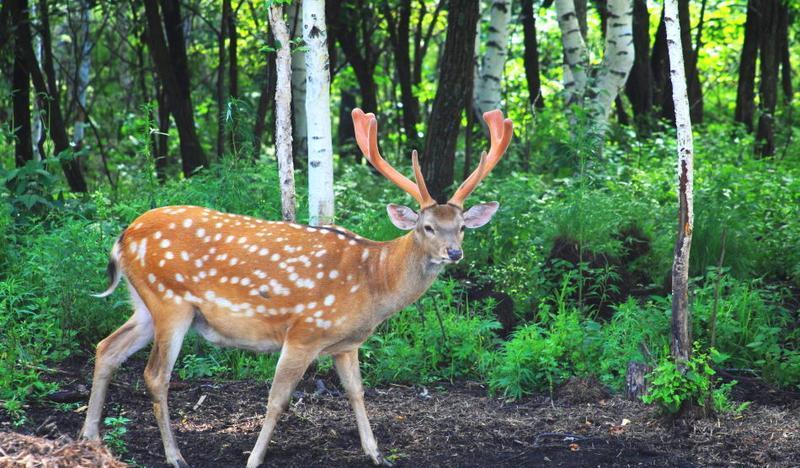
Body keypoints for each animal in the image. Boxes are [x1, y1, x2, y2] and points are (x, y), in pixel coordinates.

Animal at [81, 109, 512, 464]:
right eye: (427, 227)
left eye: (461, 226)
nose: (454, 252)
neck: (372, 281)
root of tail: (123, 237)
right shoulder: (304, 330)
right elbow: (278, 399)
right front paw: (254, 459)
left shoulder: (346, 344)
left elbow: (357, 392)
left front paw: (376, 454)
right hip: (170, 300)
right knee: (155, 374)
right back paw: (174, 457)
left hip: (144, 303)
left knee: (106, 347)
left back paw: (90, 439)